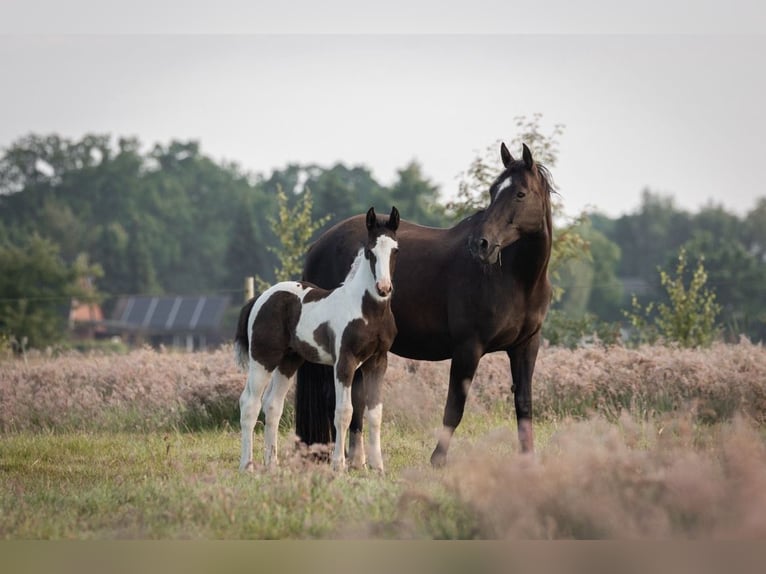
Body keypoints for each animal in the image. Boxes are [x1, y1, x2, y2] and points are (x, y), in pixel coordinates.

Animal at [236, 207, 402, 472]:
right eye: (370, 251)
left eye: (395, 250)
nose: (384, 288)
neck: (367, 310)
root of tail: (261, 298)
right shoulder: (344, 362)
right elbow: (344, 412)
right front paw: (339, 465)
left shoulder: (377, 361)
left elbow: (375, 413)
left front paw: (378, 467)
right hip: (263, 359)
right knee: (249, 404)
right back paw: (247, 466)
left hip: (289, 361)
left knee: (272, 405)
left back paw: (272, 465)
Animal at [296, 143, 556, 468]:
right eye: (493, 191)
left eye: (520, 193)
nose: (480, 244)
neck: (514, 279)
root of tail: (319, 245)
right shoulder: (468, 348)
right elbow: (454, 407)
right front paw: (438, 460)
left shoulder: (525, 347)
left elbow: (523, 405)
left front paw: (528, 461)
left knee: (356, 399)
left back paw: (357, 459)